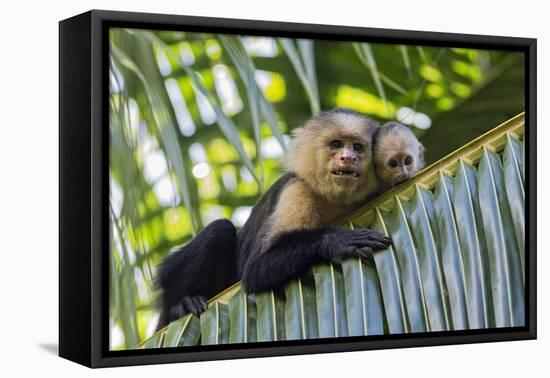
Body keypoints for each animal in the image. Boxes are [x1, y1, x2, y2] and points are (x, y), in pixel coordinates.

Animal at [157, 108, 394, 330]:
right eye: (336, 144)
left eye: (357, 147)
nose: (348, 157)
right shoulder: (297, 191)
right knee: (220, 230)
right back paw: (180, 306)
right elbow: (255, 270)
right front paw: (337, 240)